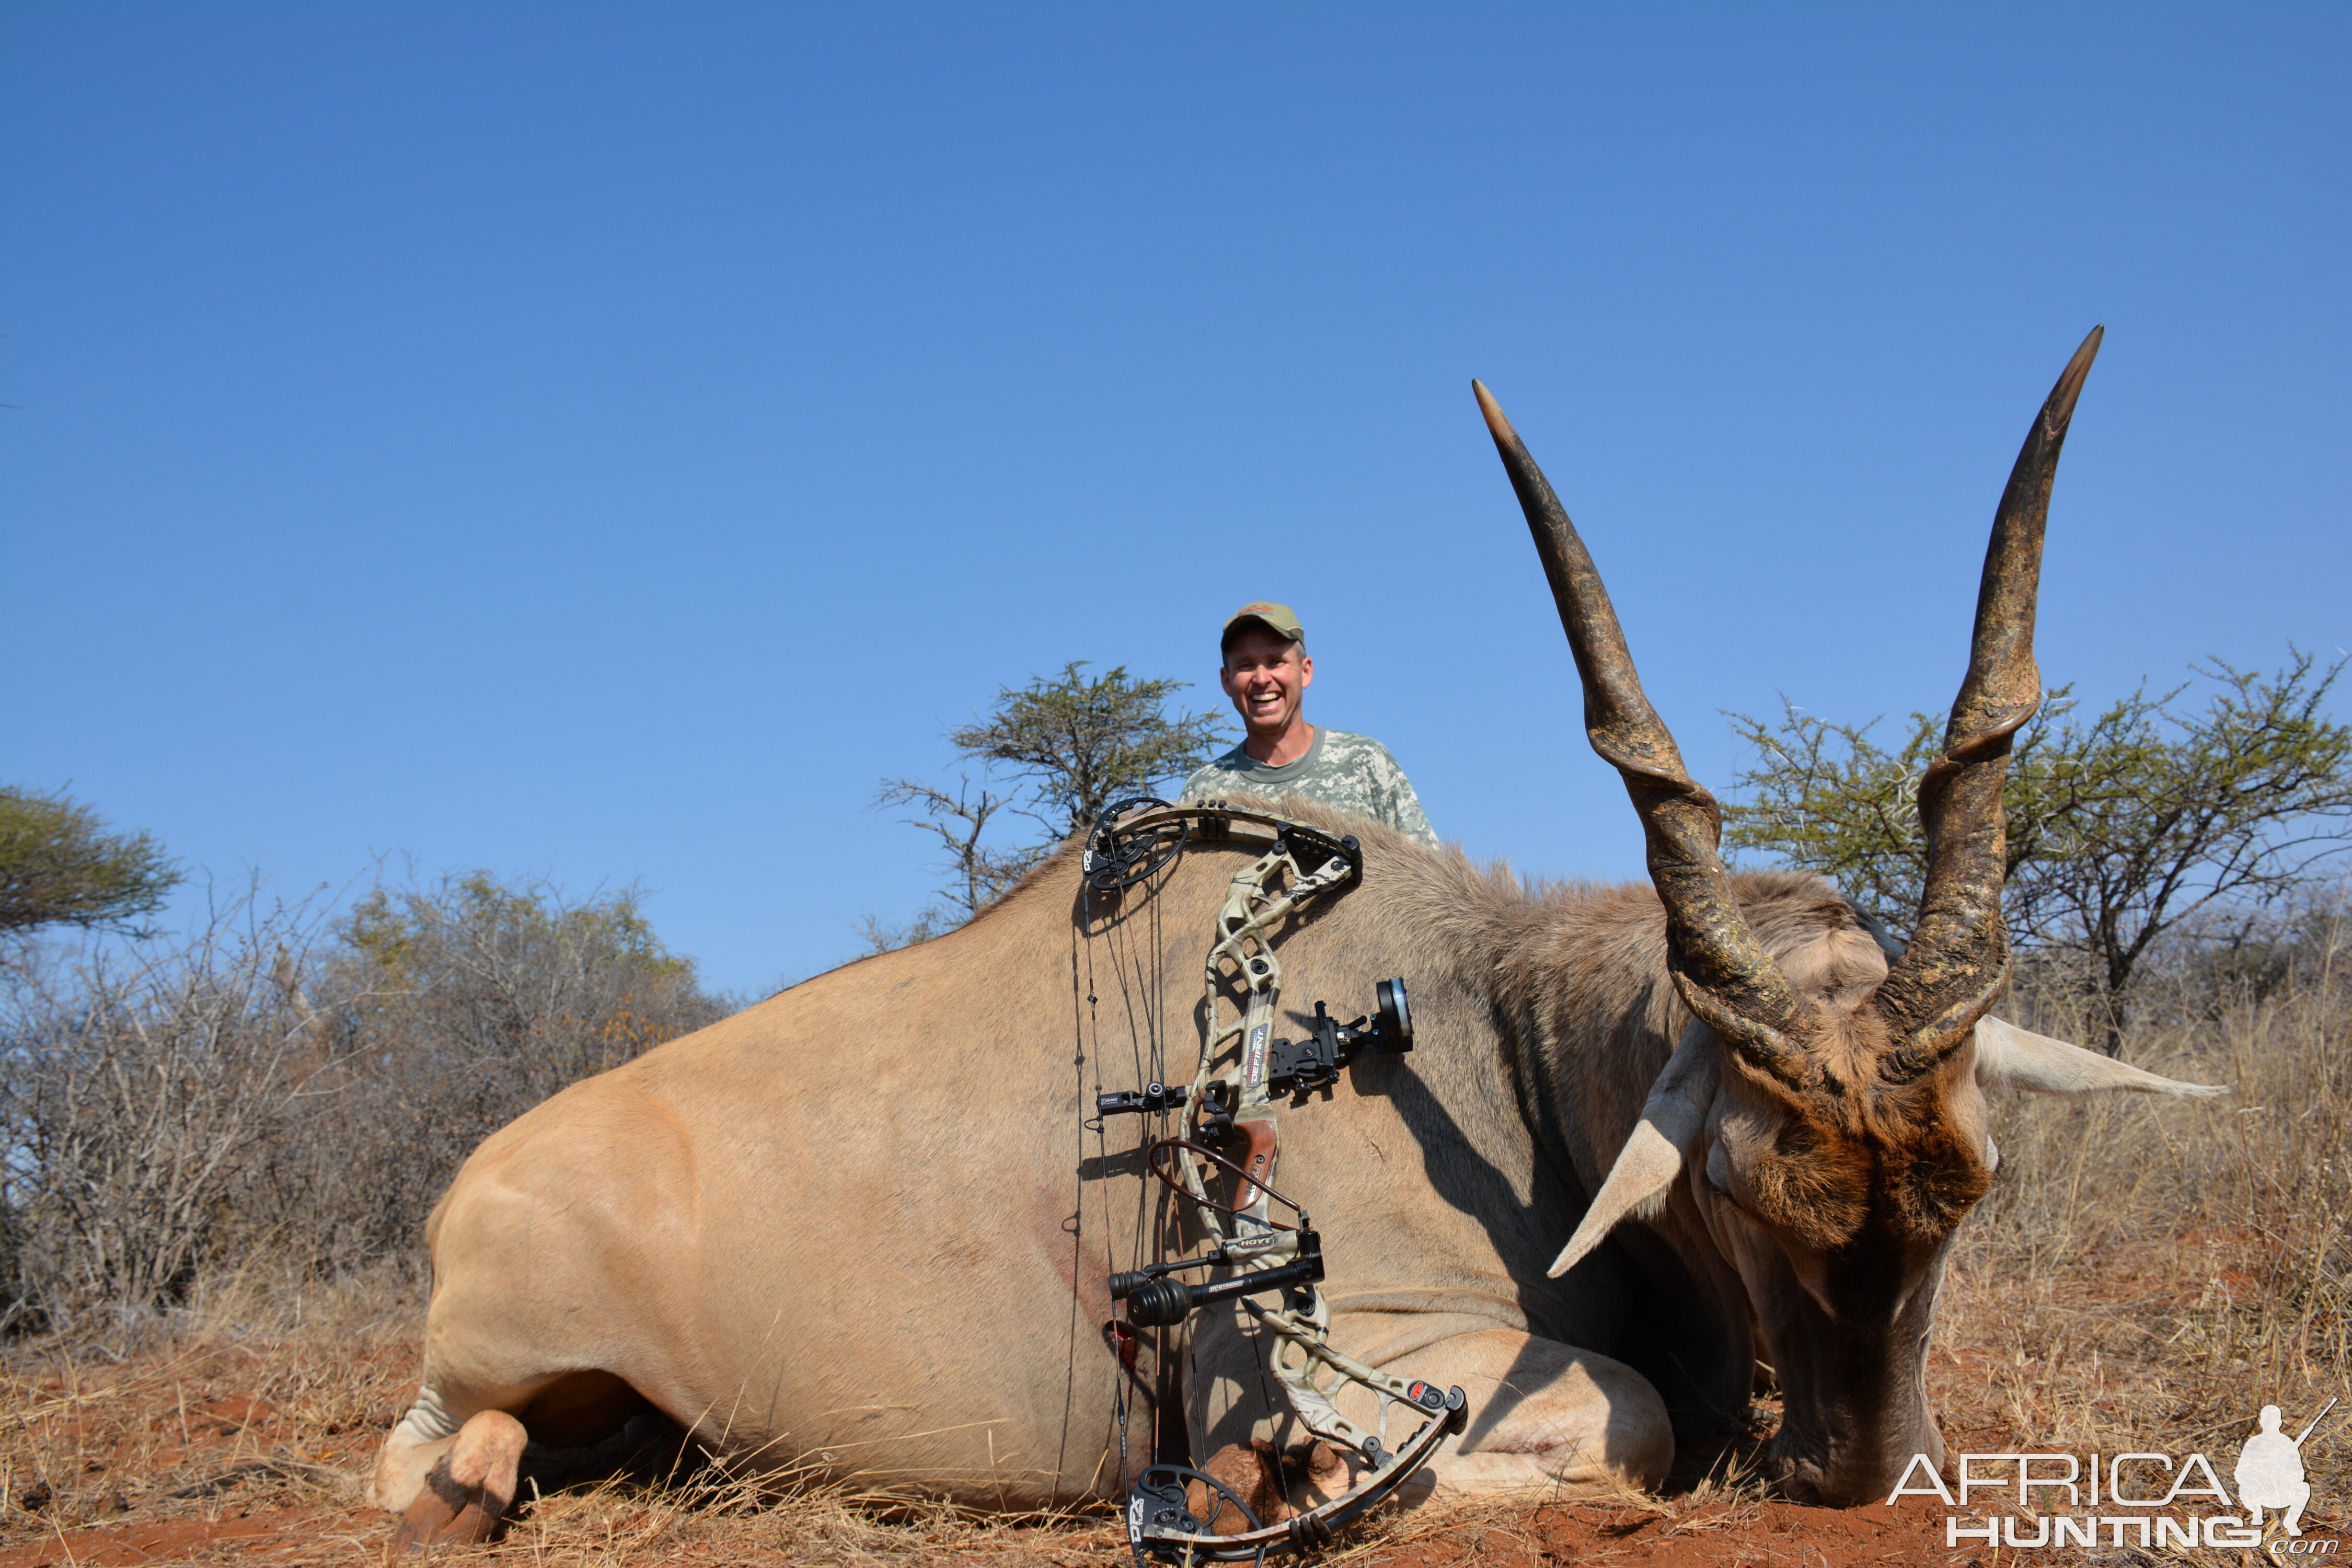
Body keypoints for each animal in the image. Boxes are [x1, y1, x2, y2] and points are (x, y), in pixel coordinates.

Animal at [367, 329, 2220, 1542]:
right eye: (1740, 1187)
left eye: (1967, 1187)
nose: (1865, 1474)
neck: (1489, 1046)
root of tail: (469, 1183)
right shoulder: (1338, 1354)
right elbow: (1620, 1422)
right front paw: (1316, 1478)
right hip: (489, 1363)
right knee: (427, 1449)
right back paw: (463, 1488)